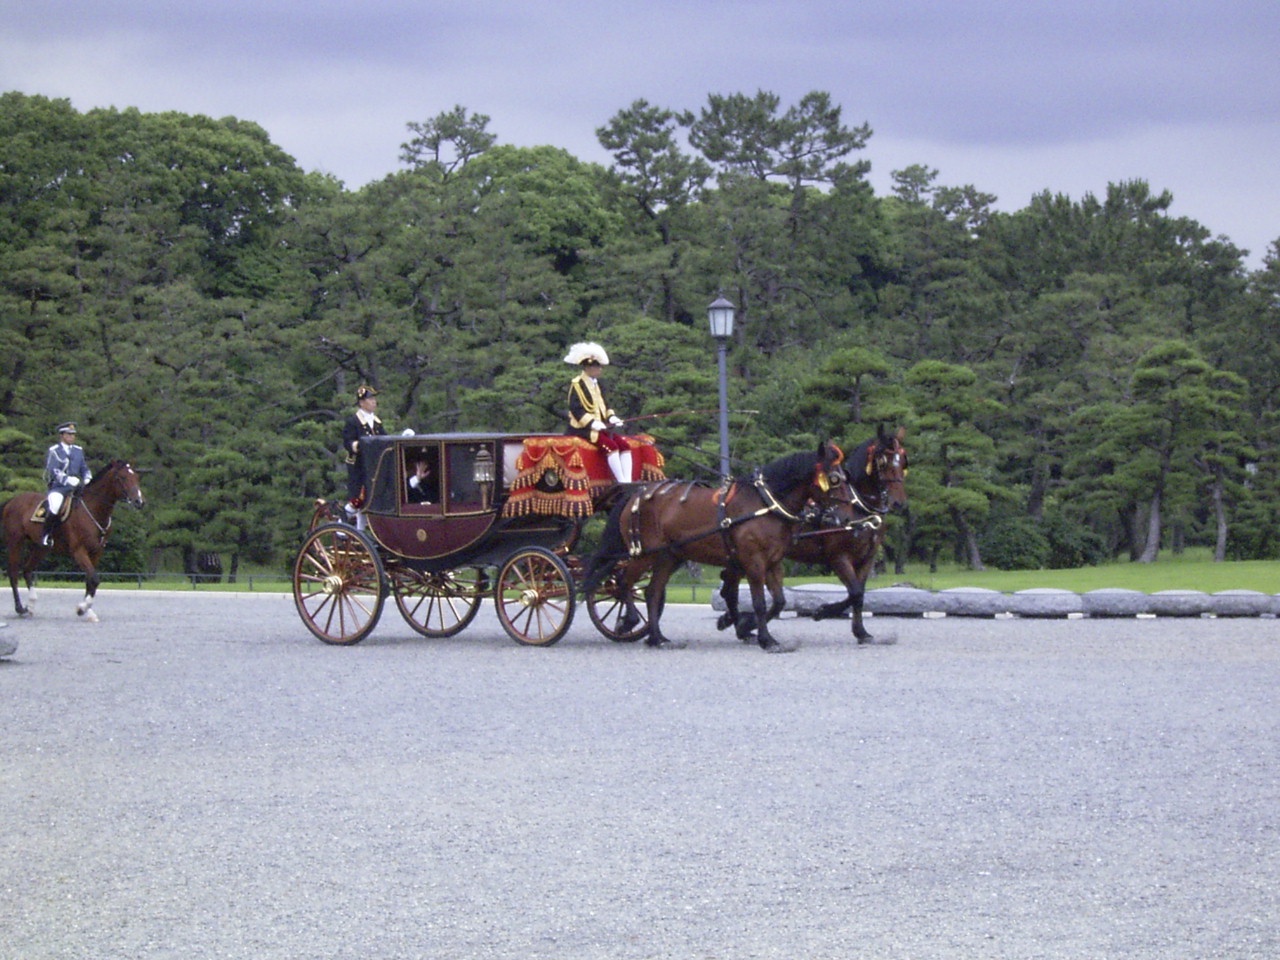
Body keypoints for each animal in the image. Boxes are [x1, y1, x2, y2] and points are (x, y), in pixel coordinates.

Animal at [2, 460, 145, 624]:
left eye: (136, 477)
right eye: (122, 478)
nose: (139, 502)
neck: (93, 510)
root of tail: (12, 501)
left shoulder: (97, 552)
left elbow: (90, 581)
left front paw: (89, 612)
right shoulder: (78, 551)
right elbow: (94, 579)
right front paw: (81, 608)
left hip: (40, 548)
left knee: (27, 570)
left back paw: (31, 606)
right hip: (15, 542)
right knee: (13, 573)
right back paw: (20, 608)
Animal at [581, 442, 849, 655]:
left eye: (844, 477)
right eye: (834, 479)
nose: (846, 517)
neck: (765, 503)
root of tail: (636, 494)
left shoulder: (773, 562)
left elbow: (779, 601)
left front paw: (748, 626)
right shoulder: (754, 563)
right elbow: (759, 602)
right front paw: (765, 639)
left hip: (668, 558)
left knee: (652, 593)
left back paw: (658, 638)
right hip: (644, 555)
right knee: (624, 583)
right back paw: (629, 621)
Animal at [721, 427, 911, 647]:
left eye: (903, 461)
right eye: (882, 461)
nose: (898, 502)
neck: (857, 507)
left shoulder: (867, 558)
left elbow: (859, 595)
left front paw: (861, 632)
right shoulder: (838, 557)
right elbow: (854, 592)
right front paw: (822, 611)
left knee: (728, 586)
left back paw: (733, 621)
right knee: (731, 588)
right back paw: (741, 625)